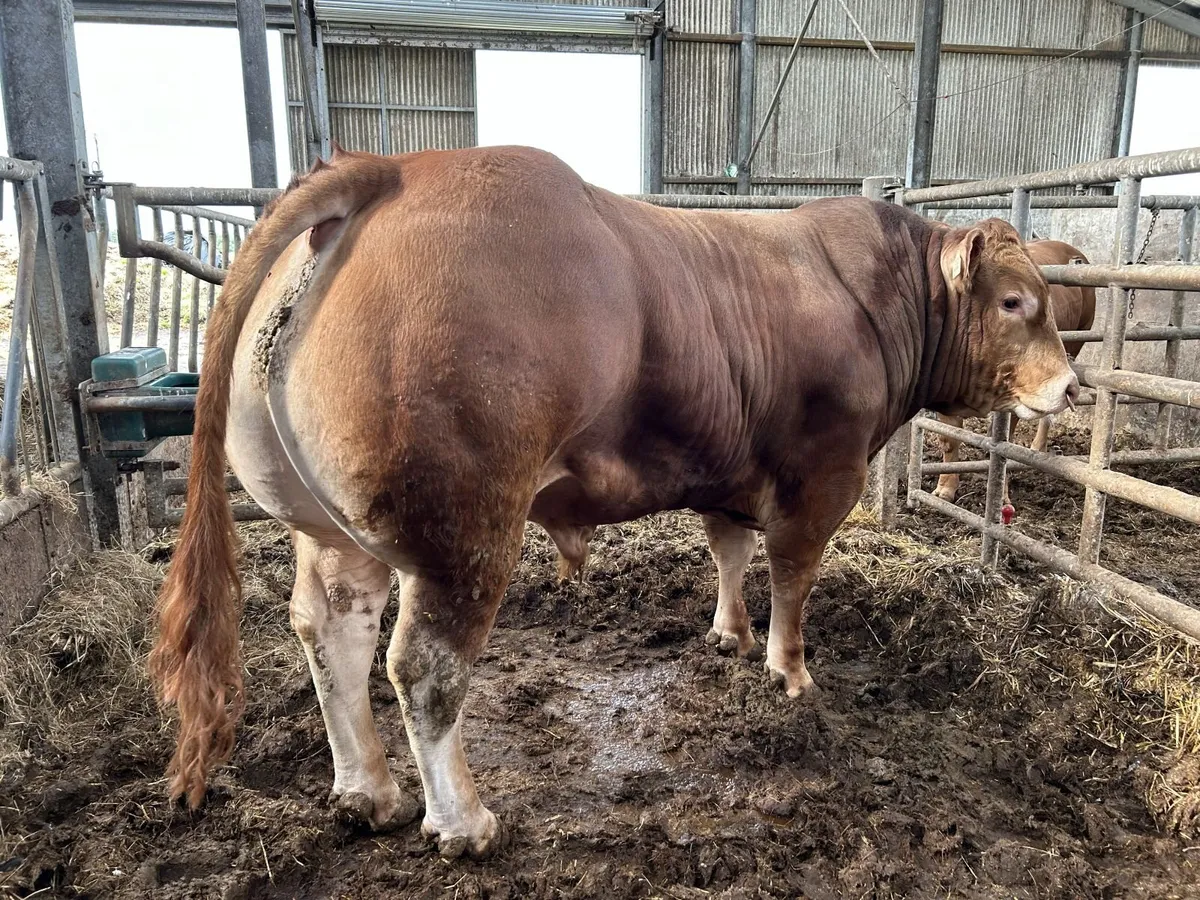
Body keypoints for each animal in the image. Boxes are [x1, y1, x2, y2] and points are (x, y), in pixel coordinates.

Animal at [149, 145, 1078, 860]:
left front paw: (728, 635)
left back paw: (366, 793)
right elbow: (793, 578)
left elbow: (729, 550)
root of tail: (395, 169)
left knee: (329, 633)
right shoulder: (823, 475)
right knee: (423, 668)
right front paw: (790, 672)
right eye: (1014, 302)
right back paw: (464, 823)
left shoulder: (729, 469)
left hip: (332, 532)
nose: (1072, 385)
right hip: (464, 533)